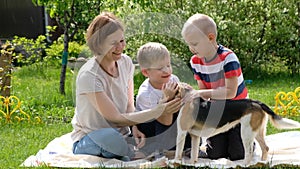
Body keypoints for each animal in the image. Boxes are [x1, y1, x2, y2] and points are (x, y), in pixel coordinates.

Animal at [172, 83, 300, 165]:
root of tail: (256, 102)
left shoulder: (182, 133)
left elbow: (178, 152)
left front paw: (176, 162)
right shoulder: (195, 136)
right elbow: (194, 154)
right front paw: (191, 164)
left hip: (246, 133)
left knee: (248, 152)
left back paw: (244, 165)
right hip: (258, 131)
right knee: (265, 148)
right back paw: (263, 163)